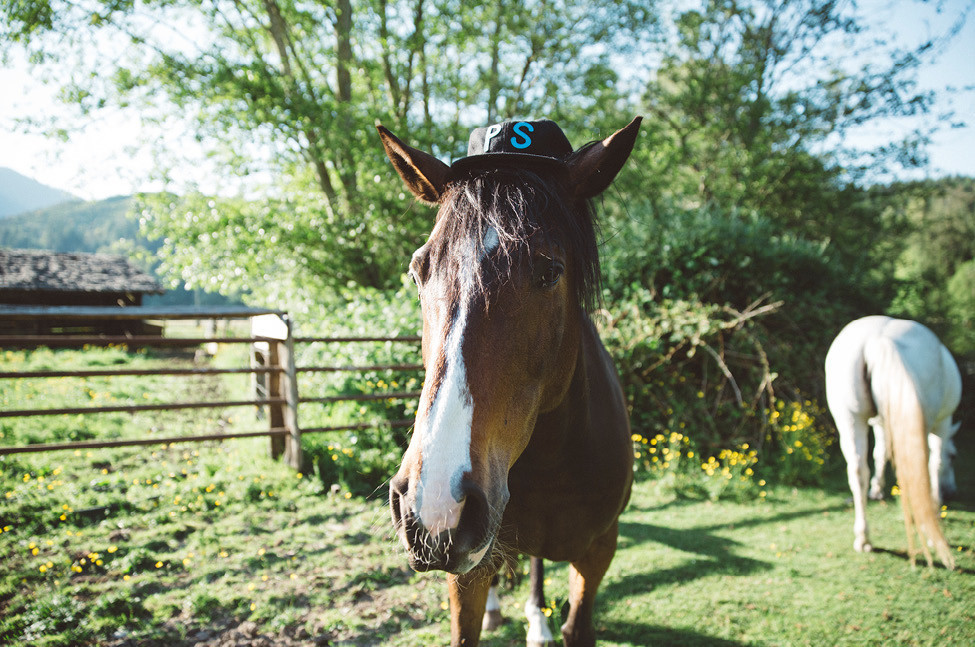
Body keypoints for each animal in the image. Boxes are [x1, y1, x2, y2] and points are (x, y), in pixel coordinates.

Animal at [376, 117, 640, 647]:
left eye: (550, 270)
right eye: (418, 271)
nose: (436, 502)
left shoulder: (600, 550)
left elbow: (578, 624)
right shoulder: (467, 573)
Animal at [828, 316, 964, 568]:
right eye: (954, 456)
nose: (952, 492)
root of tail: (878, 338)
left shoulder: (882, 423)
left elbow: (880, 453)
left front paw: (877, 489)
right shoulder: (942, 423)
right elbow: (936, 464)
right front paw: (936, 503)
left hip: (850, 419)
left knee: (858, 471)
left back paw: (863, 538)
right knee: (919, 468)